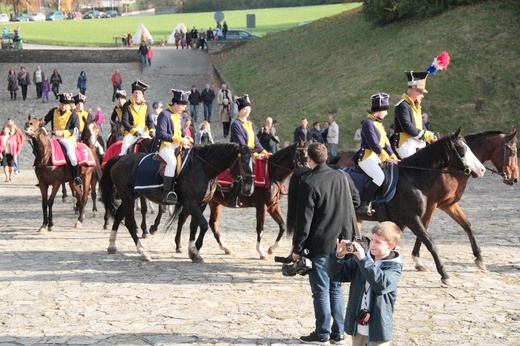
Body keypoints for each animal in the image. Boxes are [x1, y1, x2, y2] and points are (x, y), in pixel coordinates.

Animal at [100, 143, 255, 262]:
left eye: (253, 163)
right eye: (244, 162)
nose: (249, 188)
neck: (202, 167)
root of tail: (120, 159)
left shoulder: (201, 204)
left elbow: (194, 227)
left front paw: (192, 250)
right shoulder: (190, 203)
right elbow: (204, 225)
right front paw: (194, 252)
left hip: (130, 196)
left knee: (119, 215)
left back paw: (112, 245)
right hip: (128, 197)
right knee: (130, 223)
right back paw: (143, 252)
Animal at [173, 141, 310, 260]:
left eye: (308, 155)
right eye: (301, 155)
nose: (308, 171)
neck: (272, 173)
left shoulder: (272, 206)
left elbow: (282, 226)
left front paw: (272, 248)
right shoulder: (262, 206)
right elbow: (260, 229)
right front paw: (261, 252)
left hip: (213, 203)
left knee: (212, 223)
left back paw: (224, 247)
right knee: (183, 218)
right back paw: (179, 245)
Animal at [286, 128, 486, 286]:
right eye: (462, 149)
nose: (482, 170)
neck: (412, 177)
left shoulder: (404, 220)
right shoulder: (413, 218)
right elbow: (431, 243)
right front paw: (444, 275)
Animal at [332, 128, 516, 272]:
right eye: (513, 152)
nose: (514, 178)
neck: (413, 176)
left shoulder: (446, 205)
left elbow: (467, 226)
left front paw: (479, 258)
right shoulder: (424, 211)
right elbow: (427, 236)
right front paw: (422, 262)